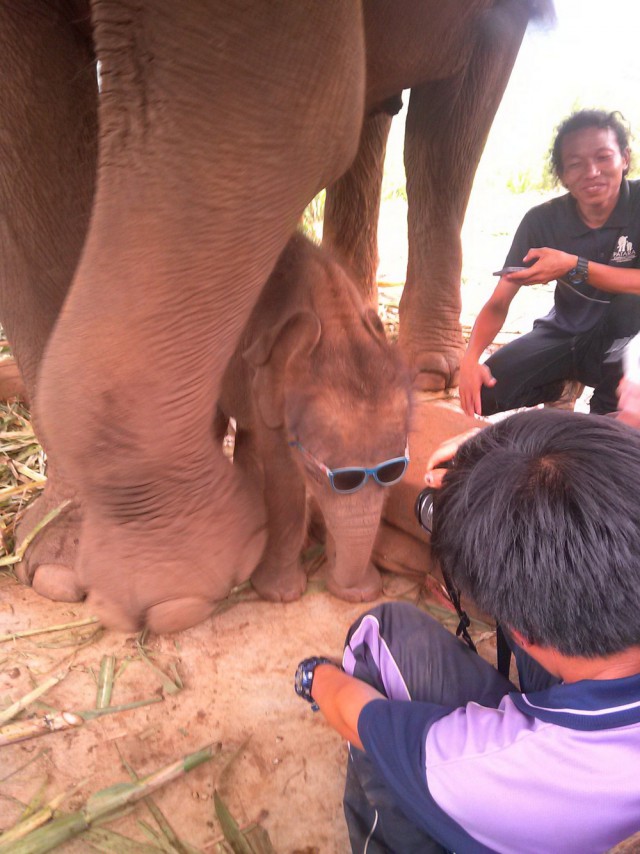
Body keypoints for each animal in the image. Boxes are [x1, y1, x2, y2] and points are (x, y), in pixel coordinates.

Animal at [218, 232, 412, 600]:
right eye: (318, 474)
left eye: (394, 473)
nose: (359, 592)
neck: (334, 318)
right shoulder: (265, 379)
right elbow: (284, 474)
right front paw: (278, 594)